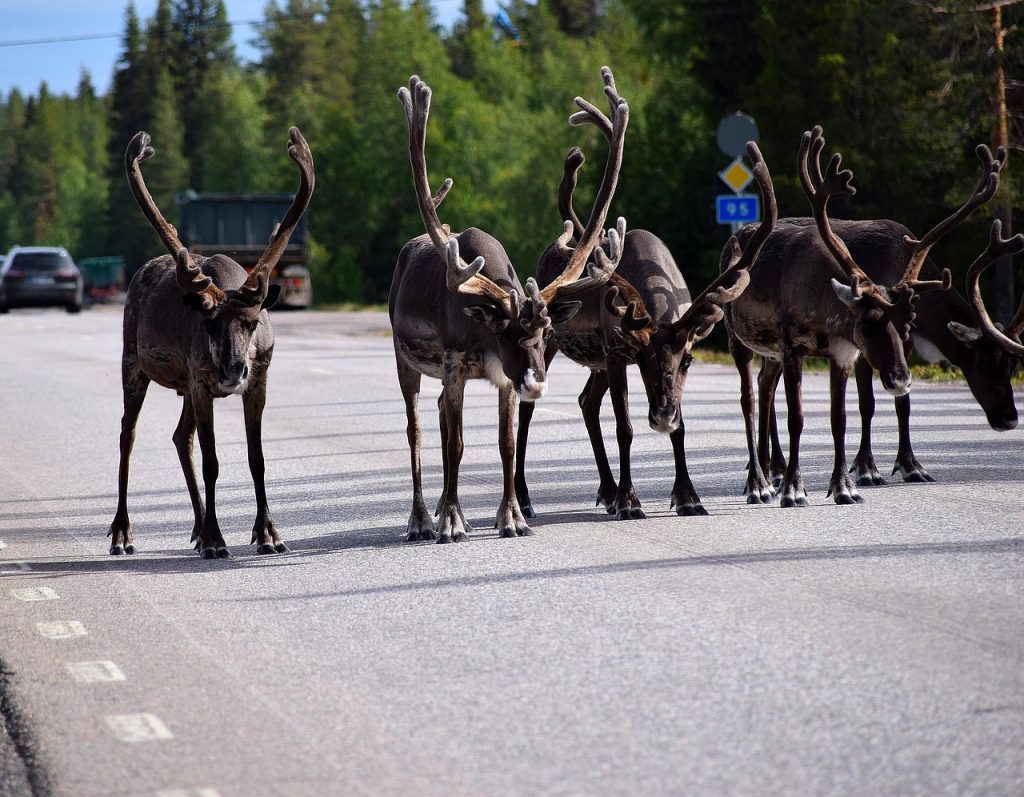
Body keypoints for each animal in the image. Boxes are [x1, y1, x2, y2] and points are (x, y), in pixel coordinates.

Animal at [108, 127, 313, 558]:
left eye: (252, 324)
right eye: (207, 323)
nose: (232, 371)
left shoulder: (258, 381)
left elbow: (257, 458)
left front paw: (268, 533)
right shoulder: (202, 382)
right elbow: (213, 461)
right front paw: (218, 541)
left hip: (184, 386)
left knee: (179, 436)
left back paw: (198, 528)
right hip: (133, 363)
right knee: (127, 435)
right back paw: (123, 533)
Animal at [390, 70, 627, 544]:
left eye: (546, 332)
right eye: (504, 332)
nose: (536, 382)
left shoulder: (503, 380)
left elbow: (506, 443)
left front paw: (511, 517)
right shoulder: (454, 362)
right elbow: (457, 443)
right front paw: (451, 522)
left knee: (439, 414)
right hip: (403, 358)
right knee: (417, 429)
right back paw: (422, 519)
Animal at [514, 97, 778, 522]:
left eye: (688, 360)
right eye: (645, 358)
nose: (662, 414)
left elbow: (682, 427)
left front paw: (688, 496)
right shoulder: (618, 351)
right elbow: (625, 427)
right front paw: (630, 501)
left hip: (595, 363)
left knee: (586, 402)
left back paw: (605, 491)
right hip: (551, 339)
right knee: (527, 406)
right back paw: (526, 498)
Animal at [724, 125, 937, 508]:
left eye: (907, 325)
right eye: (867, 322)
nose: (900, 379)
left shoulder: (840, 354)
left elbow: (839, 419)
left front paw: (843, 488)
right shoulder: (793, 347)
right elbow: (797, 417)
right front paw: (794, 489)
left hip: (769, 352)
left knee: (764, 388)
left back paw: (768, 476)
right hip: (738, 339)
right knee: (748, 399)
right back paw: (758, 484)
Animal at [751, 144, 1015, 489]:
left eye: (1012, 365)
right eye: (983, 362)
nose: (1010, 418)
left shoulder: (905, 343)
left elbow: (904, 404)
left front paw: (911, 465)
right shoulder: (862, 342)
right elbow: (868, 404)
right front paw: (866, 468)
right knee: (766, 382)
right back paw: (775, 468)